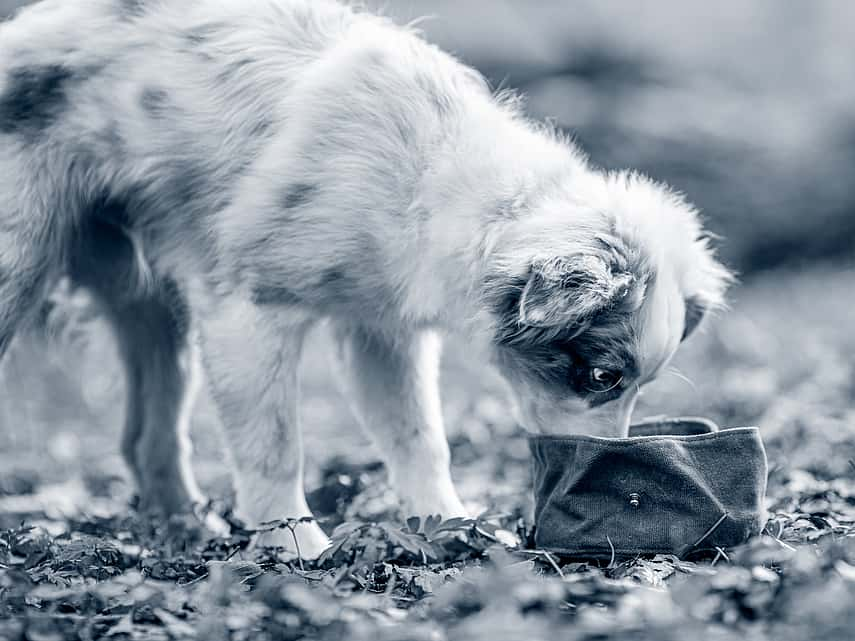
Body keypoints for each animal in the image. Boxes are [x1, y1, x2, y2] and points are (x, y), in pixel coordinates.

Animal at [1, 0, 728, 556]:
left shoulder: (381, 330)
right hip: (18, 264)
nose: (611, 469)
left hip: (152, 308)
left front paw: (447, 522)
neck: (431, 175)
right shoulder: (248, 315)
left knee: (146, 437)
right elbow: (273, 445)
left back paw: (185, 525)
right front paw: (294, 545)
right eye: (601, 376)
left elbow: (419, 436)